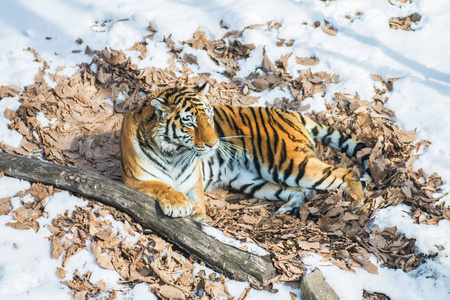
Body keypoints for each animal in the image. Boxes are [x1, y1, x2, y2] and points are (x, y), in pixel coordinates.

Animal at [119, 84, 372, 223]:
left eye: (208, 117)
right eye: (189, 123)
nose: (213, 144)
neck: (174, 153)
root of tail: (291, 113)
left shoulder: (194, 182)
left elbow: (198, 199)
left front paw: (199, 215)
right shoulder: (132, 180)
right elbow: (160, 185)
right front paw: (180, 203)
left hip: (289, 164)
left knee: (346, 173)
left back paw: (357, 201)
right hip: (256, 181)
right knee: (304, 191)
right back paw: (288, 208)